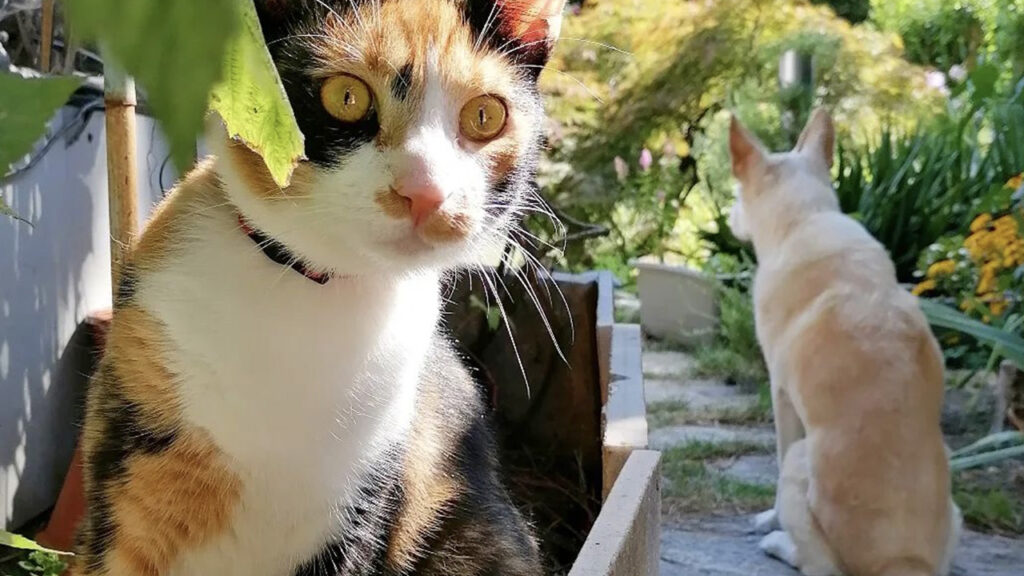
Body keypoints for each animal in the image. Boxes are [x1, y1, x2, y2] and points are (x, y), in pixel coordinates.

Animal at [729, 108, 958, 573]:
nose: (727, 215)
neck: (805, 218)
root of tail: (904, 562)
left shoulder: (781, 395)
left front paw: (768, 521)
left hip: (800, 463)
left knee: (816, 563)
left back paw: (779, 543)